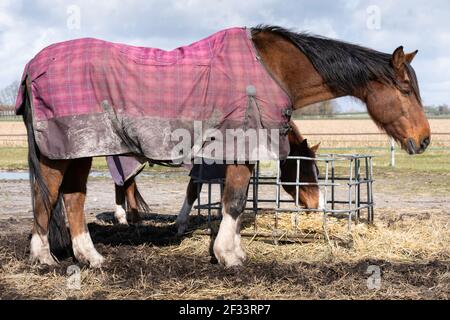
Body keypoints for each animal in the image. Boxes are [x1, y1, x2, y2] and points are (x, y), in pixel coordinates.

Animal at [20, 26, 428, 268]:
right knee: (47, 196)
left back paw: (90, 257)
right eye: (406, 89)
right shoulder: (240, 148)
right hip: (61, 152)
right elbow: (233, 200)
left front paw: (231, 249)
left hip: (79, 150)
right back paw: (44, 258)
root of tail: (32, 65)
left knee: (72, 199)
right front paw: (228, 256)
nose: (424, 139)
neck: (271, 68)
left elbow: (234, 200)